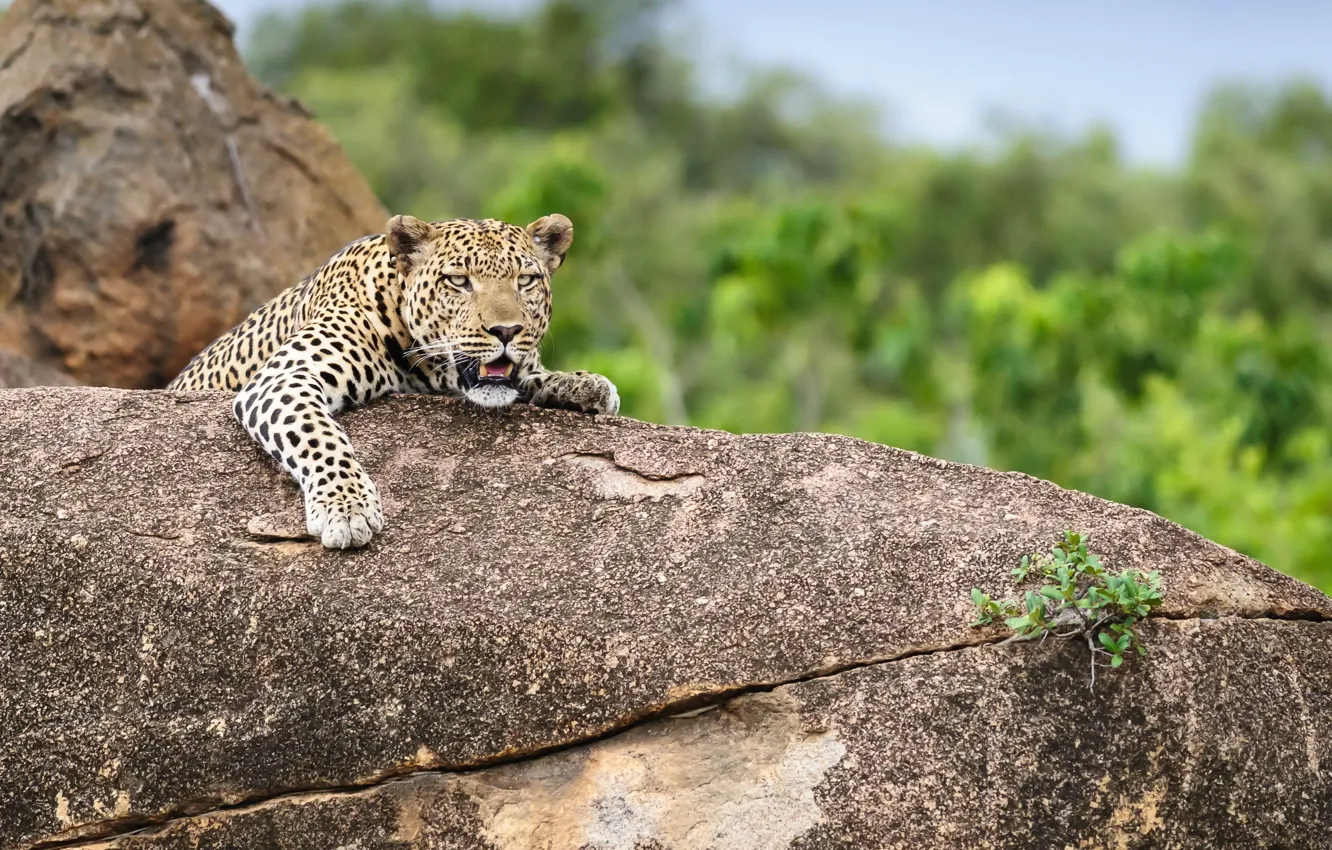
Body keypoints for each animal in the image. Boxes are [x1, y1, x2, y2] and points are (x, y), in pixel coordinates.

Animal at [168, 213, 619, 549]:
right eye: (459, 281)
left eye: (525, 281)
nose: (507, 331)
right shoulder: (285, 376)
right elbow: (318, 436)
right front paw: (346, 507)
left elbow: (533, 376)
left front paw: (585, 385)